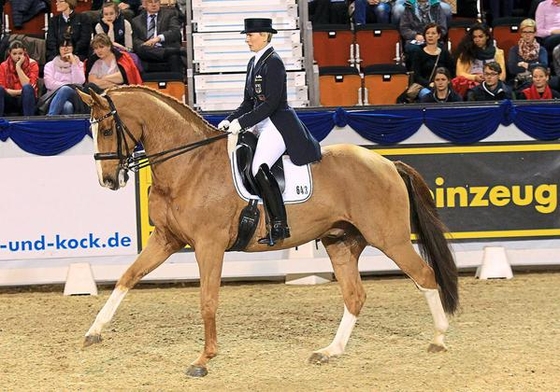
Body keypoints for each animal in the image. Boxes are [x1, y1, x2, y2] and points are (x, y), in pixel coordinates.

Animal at [75, 85, 460, 376]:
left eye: (106, 130)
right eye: (91, 131)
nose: (108, 180)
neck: (188, 165)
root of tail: (387, 163)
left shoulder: (209, 244)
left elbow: (208, 300)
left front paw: (204, 359)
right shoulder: (167, 239)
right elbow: (127, 277)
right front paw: (94, 331)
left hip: (389, 238)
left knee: (424, 276)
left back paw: (439, 339)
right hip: (341, 242)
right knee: (355, 296)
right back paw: (330, 351)